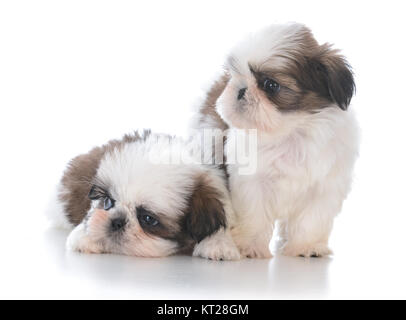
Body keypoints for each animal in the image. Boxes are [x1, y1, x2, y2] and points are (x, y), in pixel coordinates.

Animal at [193, 22, 358, 258]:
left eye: (270, 85)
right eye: (235, 74)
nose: (240, 89)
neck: (290, 132)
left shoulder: (324, 186)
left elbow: (311, 219)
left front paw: (307, 246)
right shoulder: (252, 183)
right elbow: (254, 215)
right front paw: (250, 247)